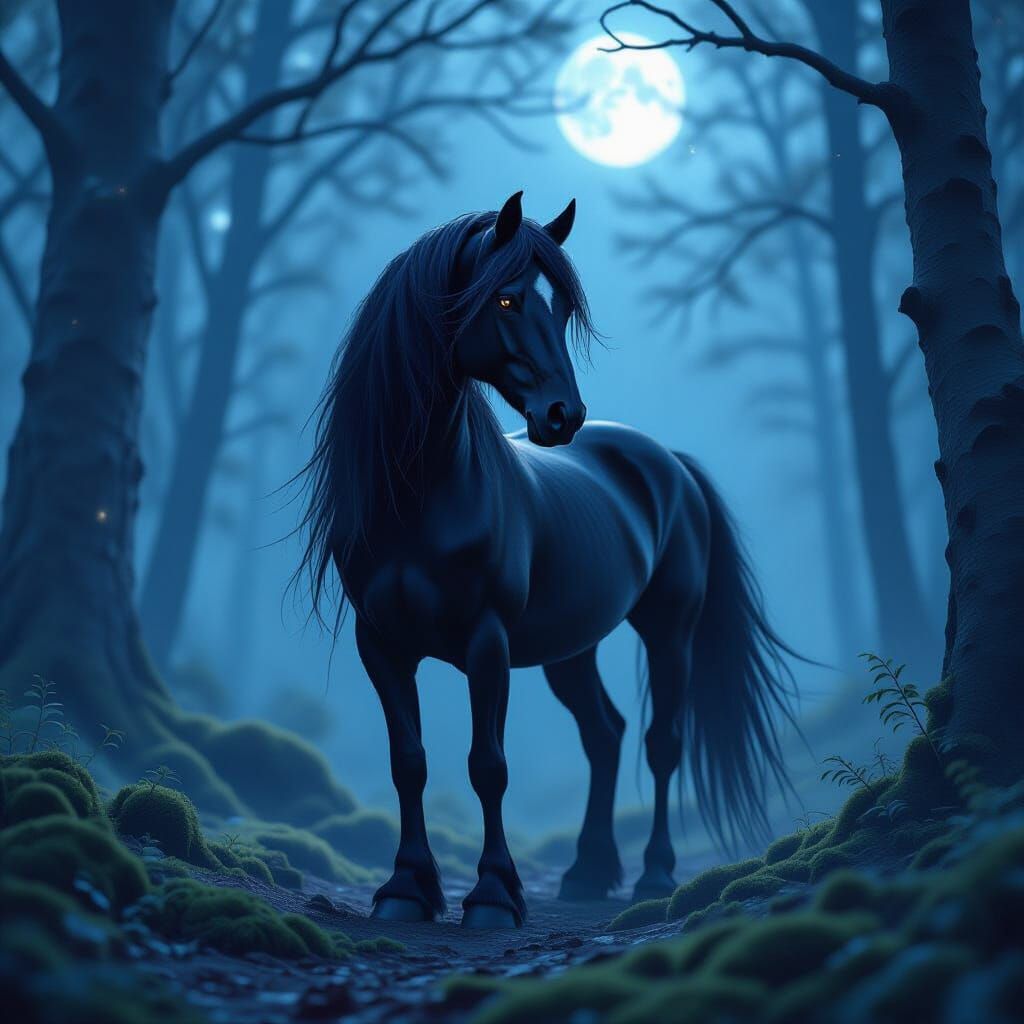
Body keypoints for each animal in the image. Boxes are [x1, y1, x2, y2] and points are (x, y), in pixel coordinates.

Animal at [297, 192, 797, 929]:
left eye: (561, 308)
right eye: (506, 300)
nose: (564, 416)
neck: (423, 498)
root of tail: (668, 461)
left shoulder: (487, 643)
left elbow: (488, 764)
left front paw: (492, 896)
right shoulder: (380, 642)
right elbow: (408, 761)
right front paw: (405, 889)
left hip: (669, 630)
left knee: (661, 742)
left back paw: (653, 875)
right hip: (572, 646)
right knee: (605, 734)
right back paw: (587, 873)